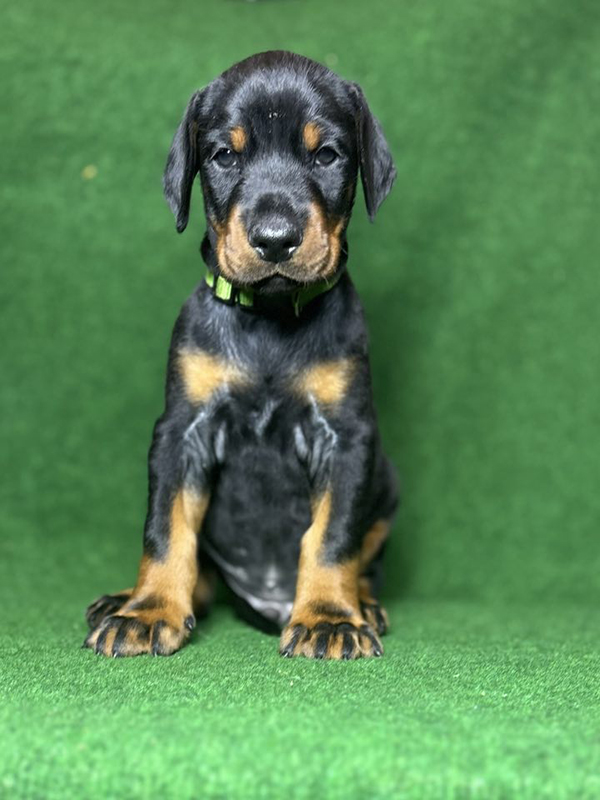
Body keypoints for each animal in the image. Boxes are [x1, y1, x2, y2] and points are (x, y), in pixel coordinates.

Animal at [84, 51, 398, 660]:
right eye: (224, 155)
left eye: (326, 155)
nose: (275, 239)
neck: (270, 322)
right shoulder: (180, 430)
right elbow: (166, 528)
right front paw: (149, 609)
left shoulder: (348, 437)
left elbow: (333, 535)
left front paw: (330, 618)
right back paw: (125, 599)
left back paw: (363, 604)